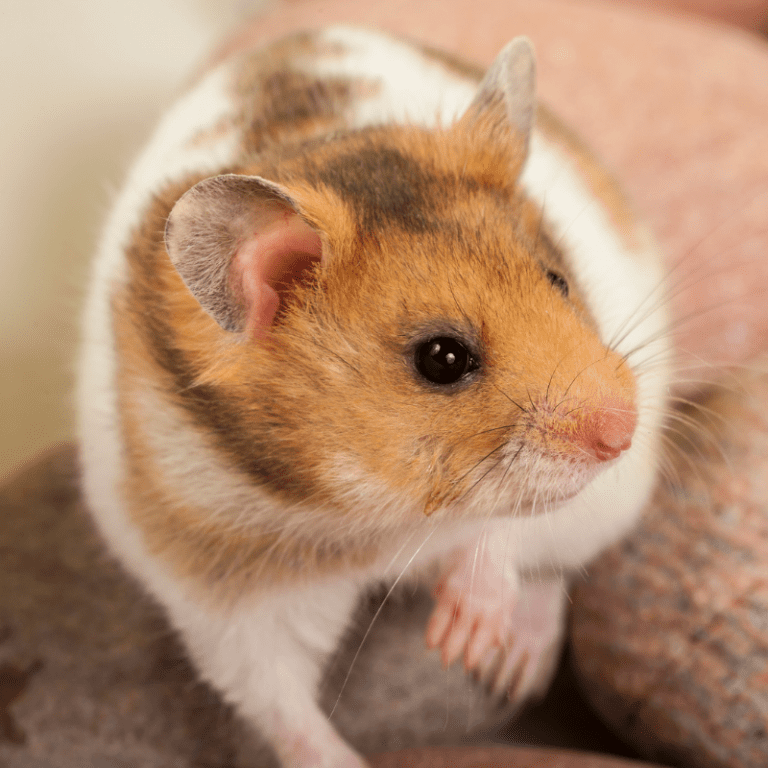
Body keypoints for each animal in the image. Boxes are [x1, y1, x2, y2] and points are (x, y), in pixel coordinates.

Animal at [76, 25, 671, 768]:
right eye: (442, 359)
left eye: (559, 280)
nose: (624, 431)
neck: (372, 516)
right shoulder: (226, 604)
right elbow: (280, 705)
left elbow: (500, 529)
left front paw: (461, 642)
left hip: (610, 504)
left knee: (554, 569)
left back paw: (510, 670)